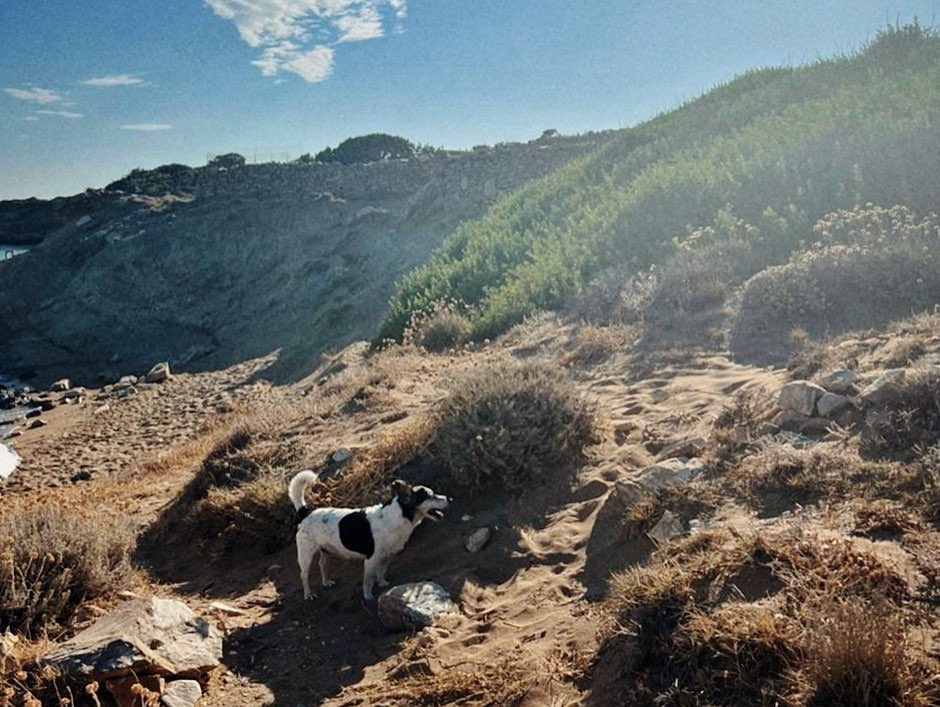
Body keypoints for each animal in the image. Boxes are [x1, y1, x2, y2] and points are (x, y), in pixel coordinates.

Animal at [286, 472, 448, 600]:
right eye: (430, 496)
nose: (449, 499)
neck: (396, 517)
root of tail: (305, 511)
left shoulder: (386, 556)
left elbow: (381, 572)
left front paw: (382, 583)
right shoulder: (371, 560)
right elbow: (368, 580)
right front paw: (368, 596)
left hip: (325, 550)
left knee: (322, 565)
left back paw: (326, 582)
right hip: (305, 555)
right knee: (304, 575)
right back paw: (308, 594)